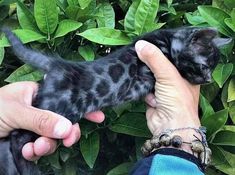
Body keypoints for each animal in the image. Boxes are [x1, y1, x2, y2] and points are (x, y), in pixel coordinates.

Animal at [0, 26, 229, 174]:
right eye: (204, 66)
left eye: (213, 68)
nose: (209, 79)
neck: (167, 38)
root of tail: (57, 65)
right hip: (58, 109)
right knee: (17, 137)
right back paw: (27, 169)